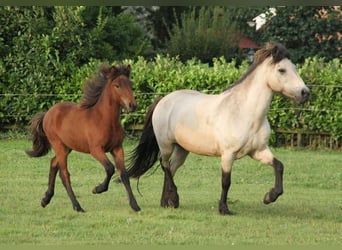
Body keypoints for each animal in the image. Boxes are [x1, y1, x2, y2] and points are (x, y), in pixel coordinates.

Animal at [26, 63, 142, 212]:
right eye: (117, 85)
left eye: (130, 84)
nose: (132, 105)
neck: (105, 120)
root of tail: (47, 114)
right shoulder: (96, 149)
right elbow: (110, 168)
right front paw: (97, 189)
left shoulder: (117, 148)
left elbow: (124, 174)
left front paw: (135, 205)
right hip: (58, 145)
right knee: (64, 174)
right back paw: (77, 206)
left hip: (67, 147)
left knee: (53, 163)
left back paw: (45, 199)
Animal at [127, 43, 310, 215]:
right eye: (281, 70)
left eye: (294, 68)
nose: (305, 93)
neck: (245, 113)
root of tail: (163, 100)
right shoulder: (228, 155)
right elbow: (226, 182)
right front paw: (224, 209)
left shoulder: (258, 151)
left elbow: (279, 166)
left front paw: (269, 197)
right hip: (166, 145)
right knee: (164, 164)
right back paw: (174, 198)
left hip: (182, 149)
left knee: (171, 168)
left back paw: (167, 202)